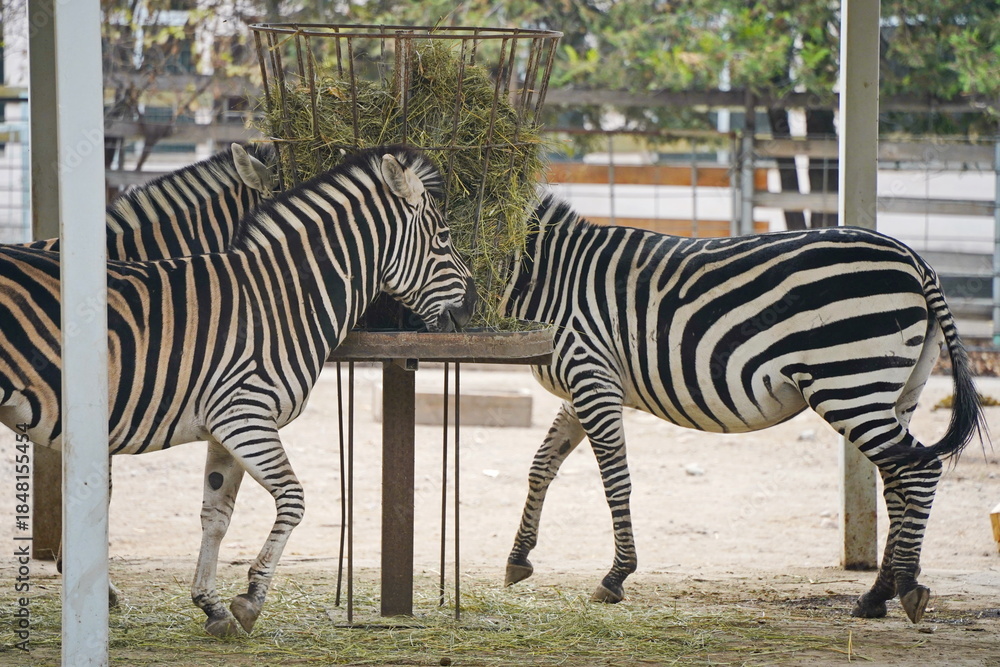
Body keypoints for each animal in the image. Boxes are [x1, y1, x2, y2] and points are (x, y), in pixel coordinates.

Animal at [0, 146, 476, 637]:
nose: (473, 305)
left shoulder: (224, 426)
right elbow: (292, 499)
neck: (280, 299)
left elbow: (216, 515)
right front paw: (250, 599)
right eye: (443, 237)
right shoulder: (243, 416)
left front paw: (211, 605)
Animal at [500, 194, 986, 624]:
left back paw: (905, 586)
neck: (549, 279)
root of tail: (915, 260)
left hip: (848, 385)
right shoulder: (585, 386)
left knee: (919, 469)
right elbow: (542, 463)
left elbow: (614, 481)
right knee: (898, 478)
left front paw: (616, 575)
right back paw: (877, 593)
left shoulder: (591, 372)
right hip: (896, 391)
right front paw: (519, 557)